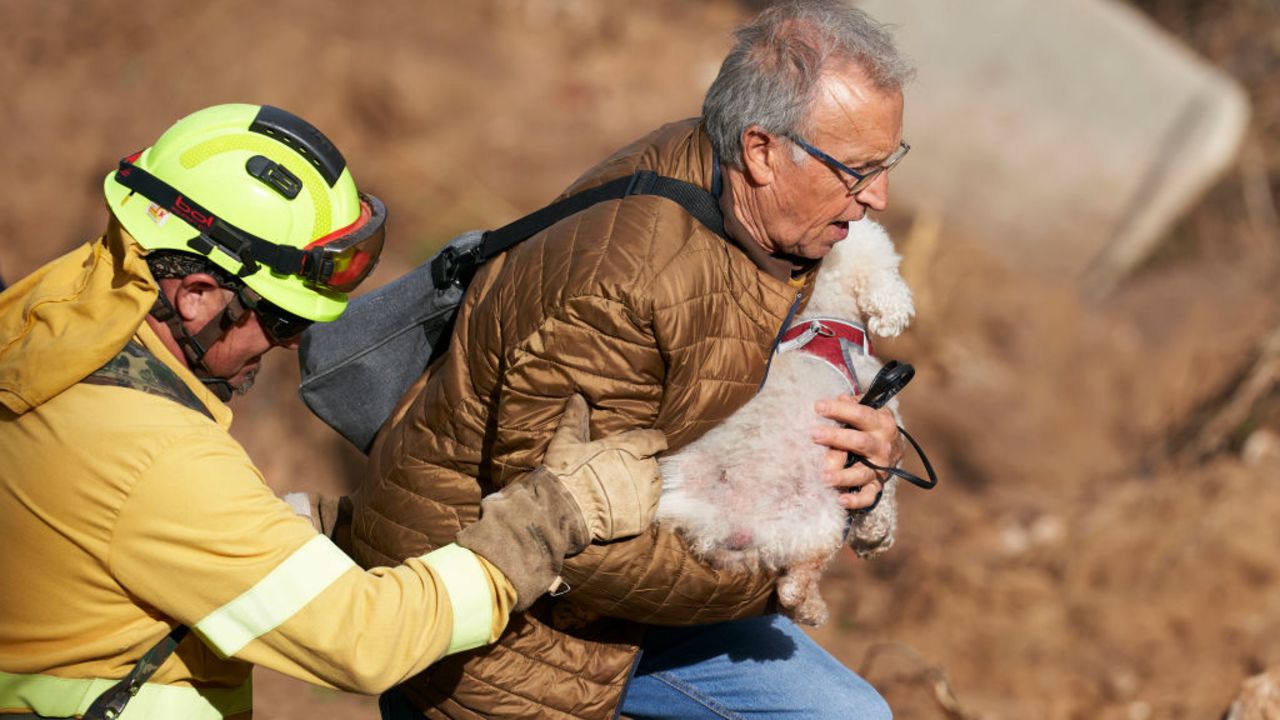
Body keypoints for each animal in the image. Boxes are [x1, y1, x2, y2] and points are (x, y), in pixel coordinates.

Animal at [655, 215, 916, 625]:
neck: (825, 316)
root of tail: (729, 520)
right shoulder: (875, 411)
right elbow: (885, 486)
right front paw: (876, 534)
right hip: (822, 518)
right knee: (796, 582)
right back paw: (811, 608)